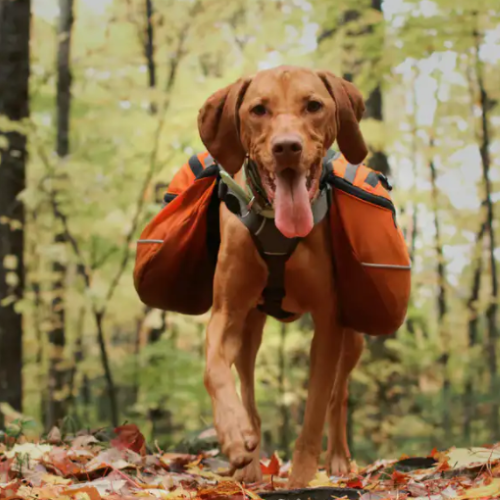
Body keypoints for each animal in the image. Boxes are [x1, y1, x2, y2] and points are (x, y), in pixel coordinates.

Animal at [198, 66, 368, 488]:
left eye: (314, 106)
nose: (287, 147)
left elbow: (315, 408)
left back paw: (338, 458)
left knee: (339, 394)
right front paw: (231, 432)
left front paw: (302, 479)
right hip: (250, 330)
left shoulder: (329, 322)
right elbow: (213, 371)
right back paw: (249, 461)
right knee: (247, 385)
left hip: (354, 338)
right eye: (258, 109)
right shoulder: (226, 313)